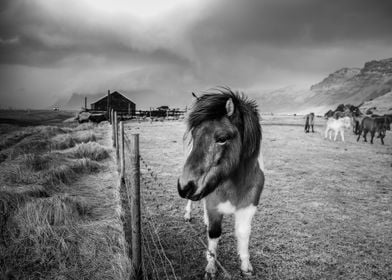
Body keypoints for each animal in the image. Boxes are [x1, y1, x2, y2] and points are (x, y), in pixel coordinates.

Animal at [177, 88, 264, 278]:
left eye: (222, 138)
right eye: (194, 134)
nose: (184, 187)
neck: (235, 184)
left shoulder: (248, 208)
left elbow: (243, 233)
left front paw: (246, 266)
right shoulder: (214, 206)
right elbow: (214, 233)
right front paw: (211, 266)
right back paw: (188, 214)